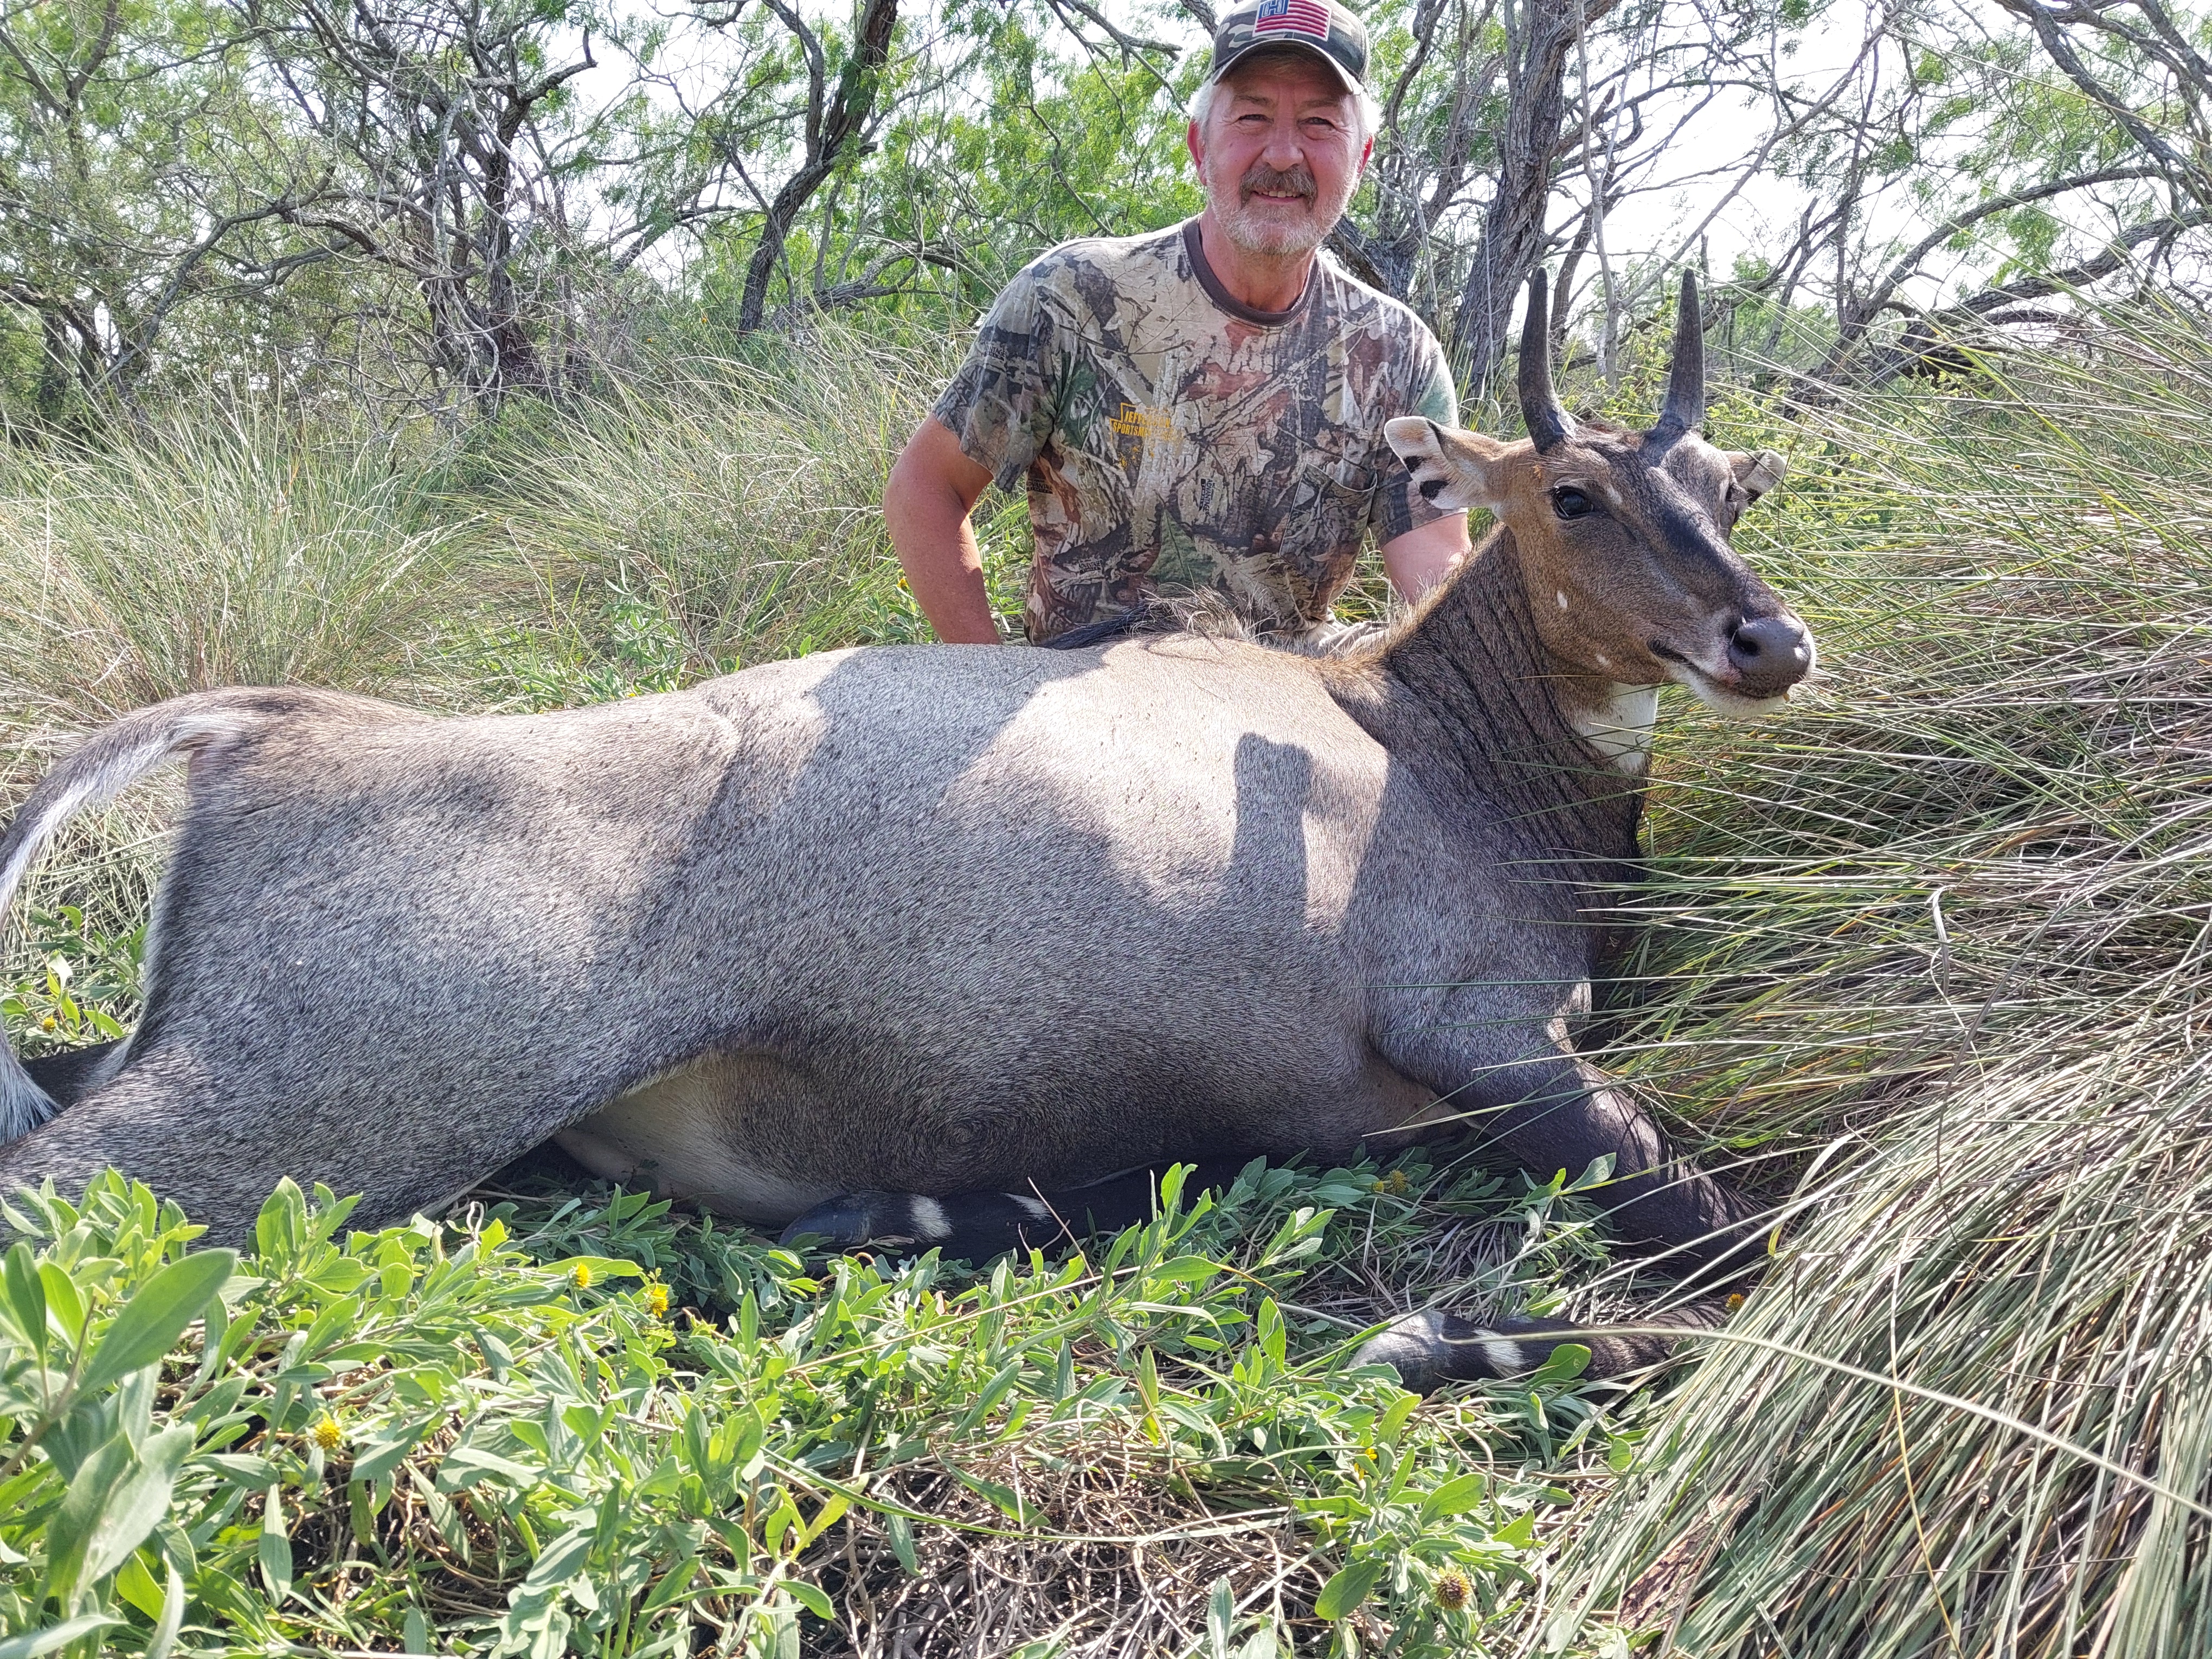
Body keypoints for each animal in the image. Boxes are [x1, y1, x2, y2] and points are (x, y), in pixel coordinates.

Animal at [4, 276, 1814, 1389]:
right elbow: (1746, 1237)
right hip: (302, 1118)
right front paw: (1460, 1341)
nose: (1766, 641)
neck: (1432, 742)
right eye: (1571, 495)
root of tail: (274, 723)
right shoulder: (1484, 1039)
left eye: (1728, 488)